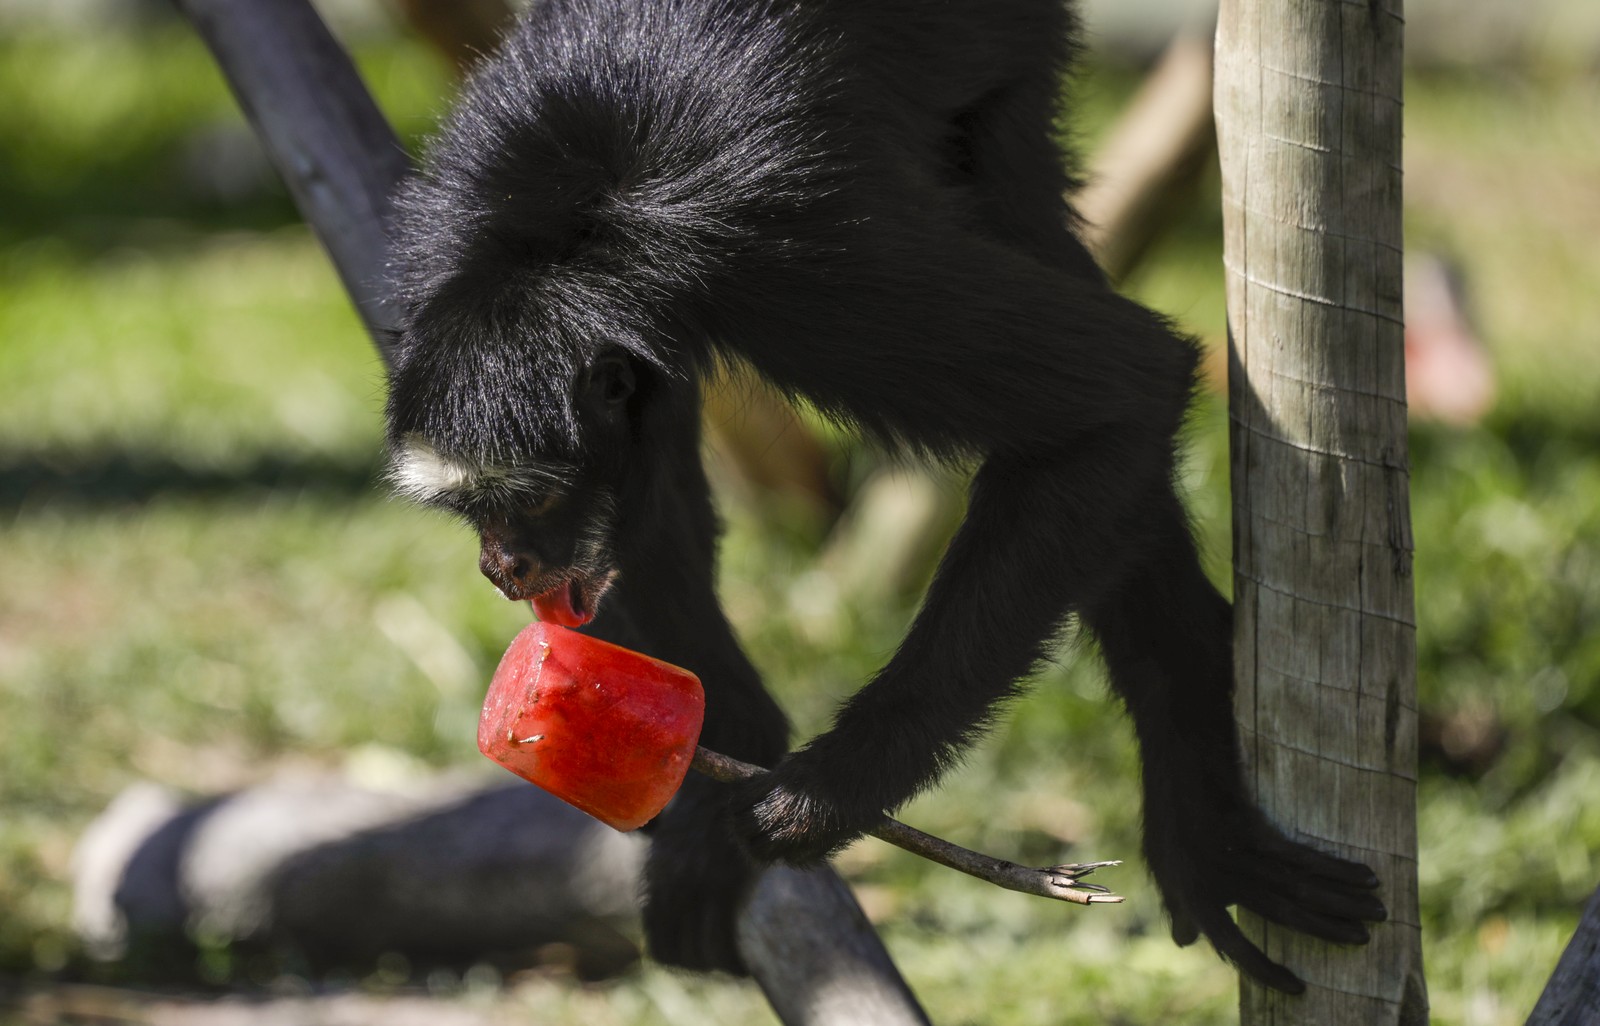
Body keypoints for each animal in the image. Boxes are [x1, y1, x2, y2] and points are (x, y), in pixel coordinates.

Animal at [380, 0, 1382, 992]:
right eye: (471, 512)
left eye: (528, 503)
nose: (502, 565)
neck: (555, 231)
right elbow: (651, 508)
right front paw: (710, 799)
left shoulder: (786, 267)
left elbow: (1127, 392)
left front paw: (828, 796)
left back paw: (1200, 804)